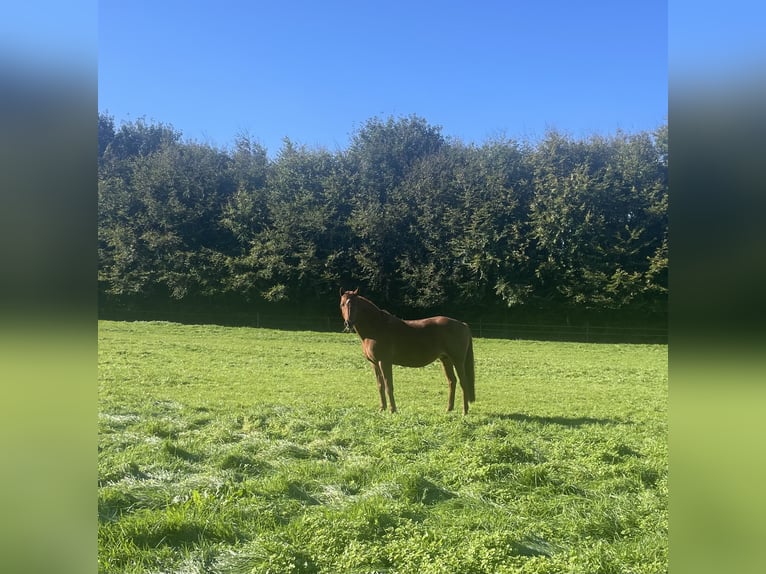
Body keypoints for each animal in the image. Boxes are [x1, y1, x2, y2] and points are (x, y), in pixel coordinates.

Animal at [339, 288, 475, 414]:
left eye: (356, 304)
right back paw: (449, 409)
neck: (377, 328)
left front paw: (393, 410)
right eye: (342, 304)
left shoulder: (384, 362)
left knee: (463, 382)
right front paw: (382, 409)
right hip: (446, 359)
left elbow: (388, 385)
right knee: (452, 381)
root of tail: (463, 325)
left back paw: (465, 411)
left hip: (457, 360)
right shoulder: (374, 363)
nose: (348, 323)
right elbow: (380, 386)